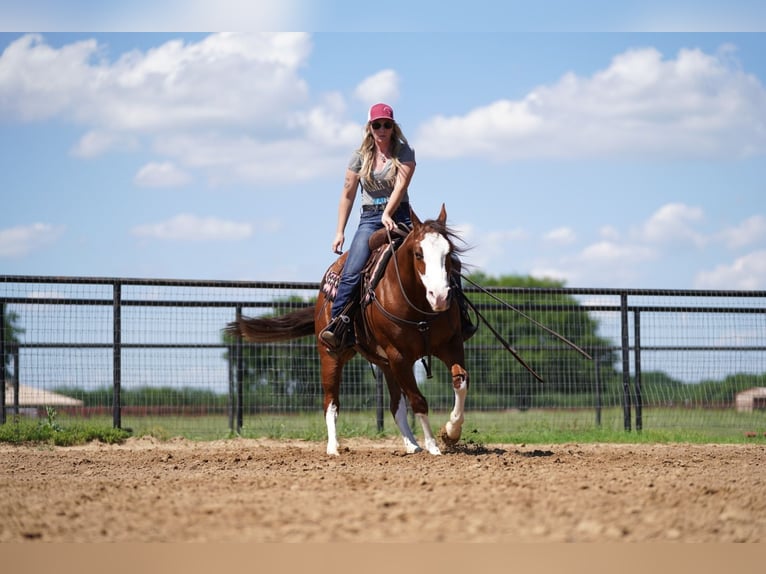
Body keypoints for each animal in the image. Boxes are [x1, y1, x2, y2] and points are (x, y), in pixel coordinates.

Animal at [225, 205, 472, 456]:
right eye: (418, 254)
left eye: (449, 253)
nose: (440, 297)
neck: (418, 306)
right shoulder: (399, 356)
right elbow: (418, 400)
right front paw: (433, 446)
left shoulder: (450, 345)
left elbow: (460, 382)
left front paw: (450, 432)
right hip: (332, 355)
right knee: (331, 402)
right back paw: (334, 447)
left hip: (385, 364)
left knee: (395, 405)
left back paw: (412, 445)